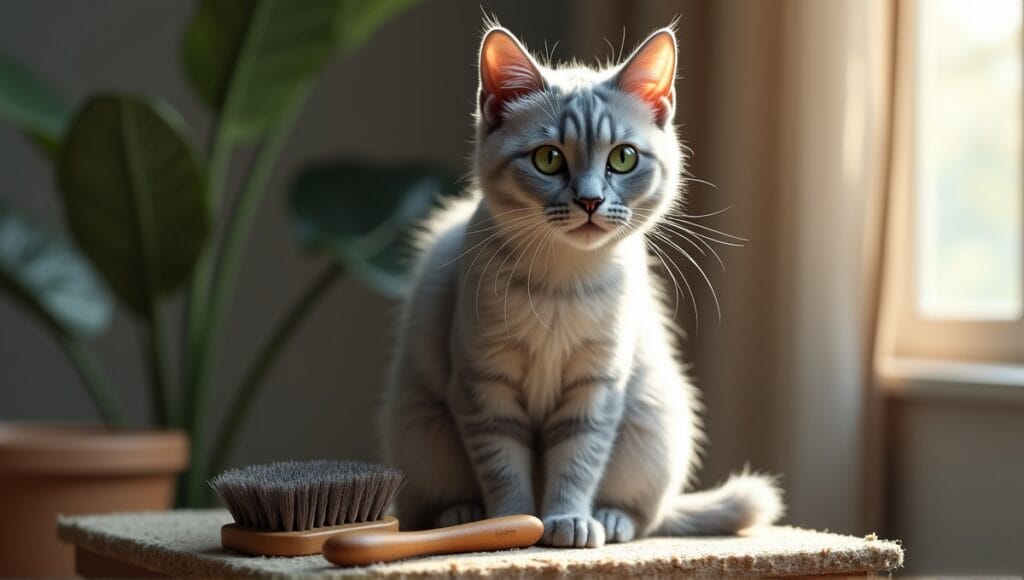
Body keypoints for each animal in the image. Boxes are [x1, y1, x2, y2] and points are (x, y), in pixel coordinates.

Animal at [378, 23, 782, 549]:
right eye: (549, 159)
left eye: (624, 158)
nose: (590, 200)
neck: (562, 285)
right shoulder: (485, 385)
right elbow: (503, 469)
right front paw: (513, 524)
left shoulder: (596, 389)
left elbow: (577, 464)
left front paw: (567, 520)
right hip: (421, 430)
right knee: (429, 506)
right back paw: (463, 516)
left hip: (649, 422)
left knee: (645, 515)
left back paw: (611, 520)